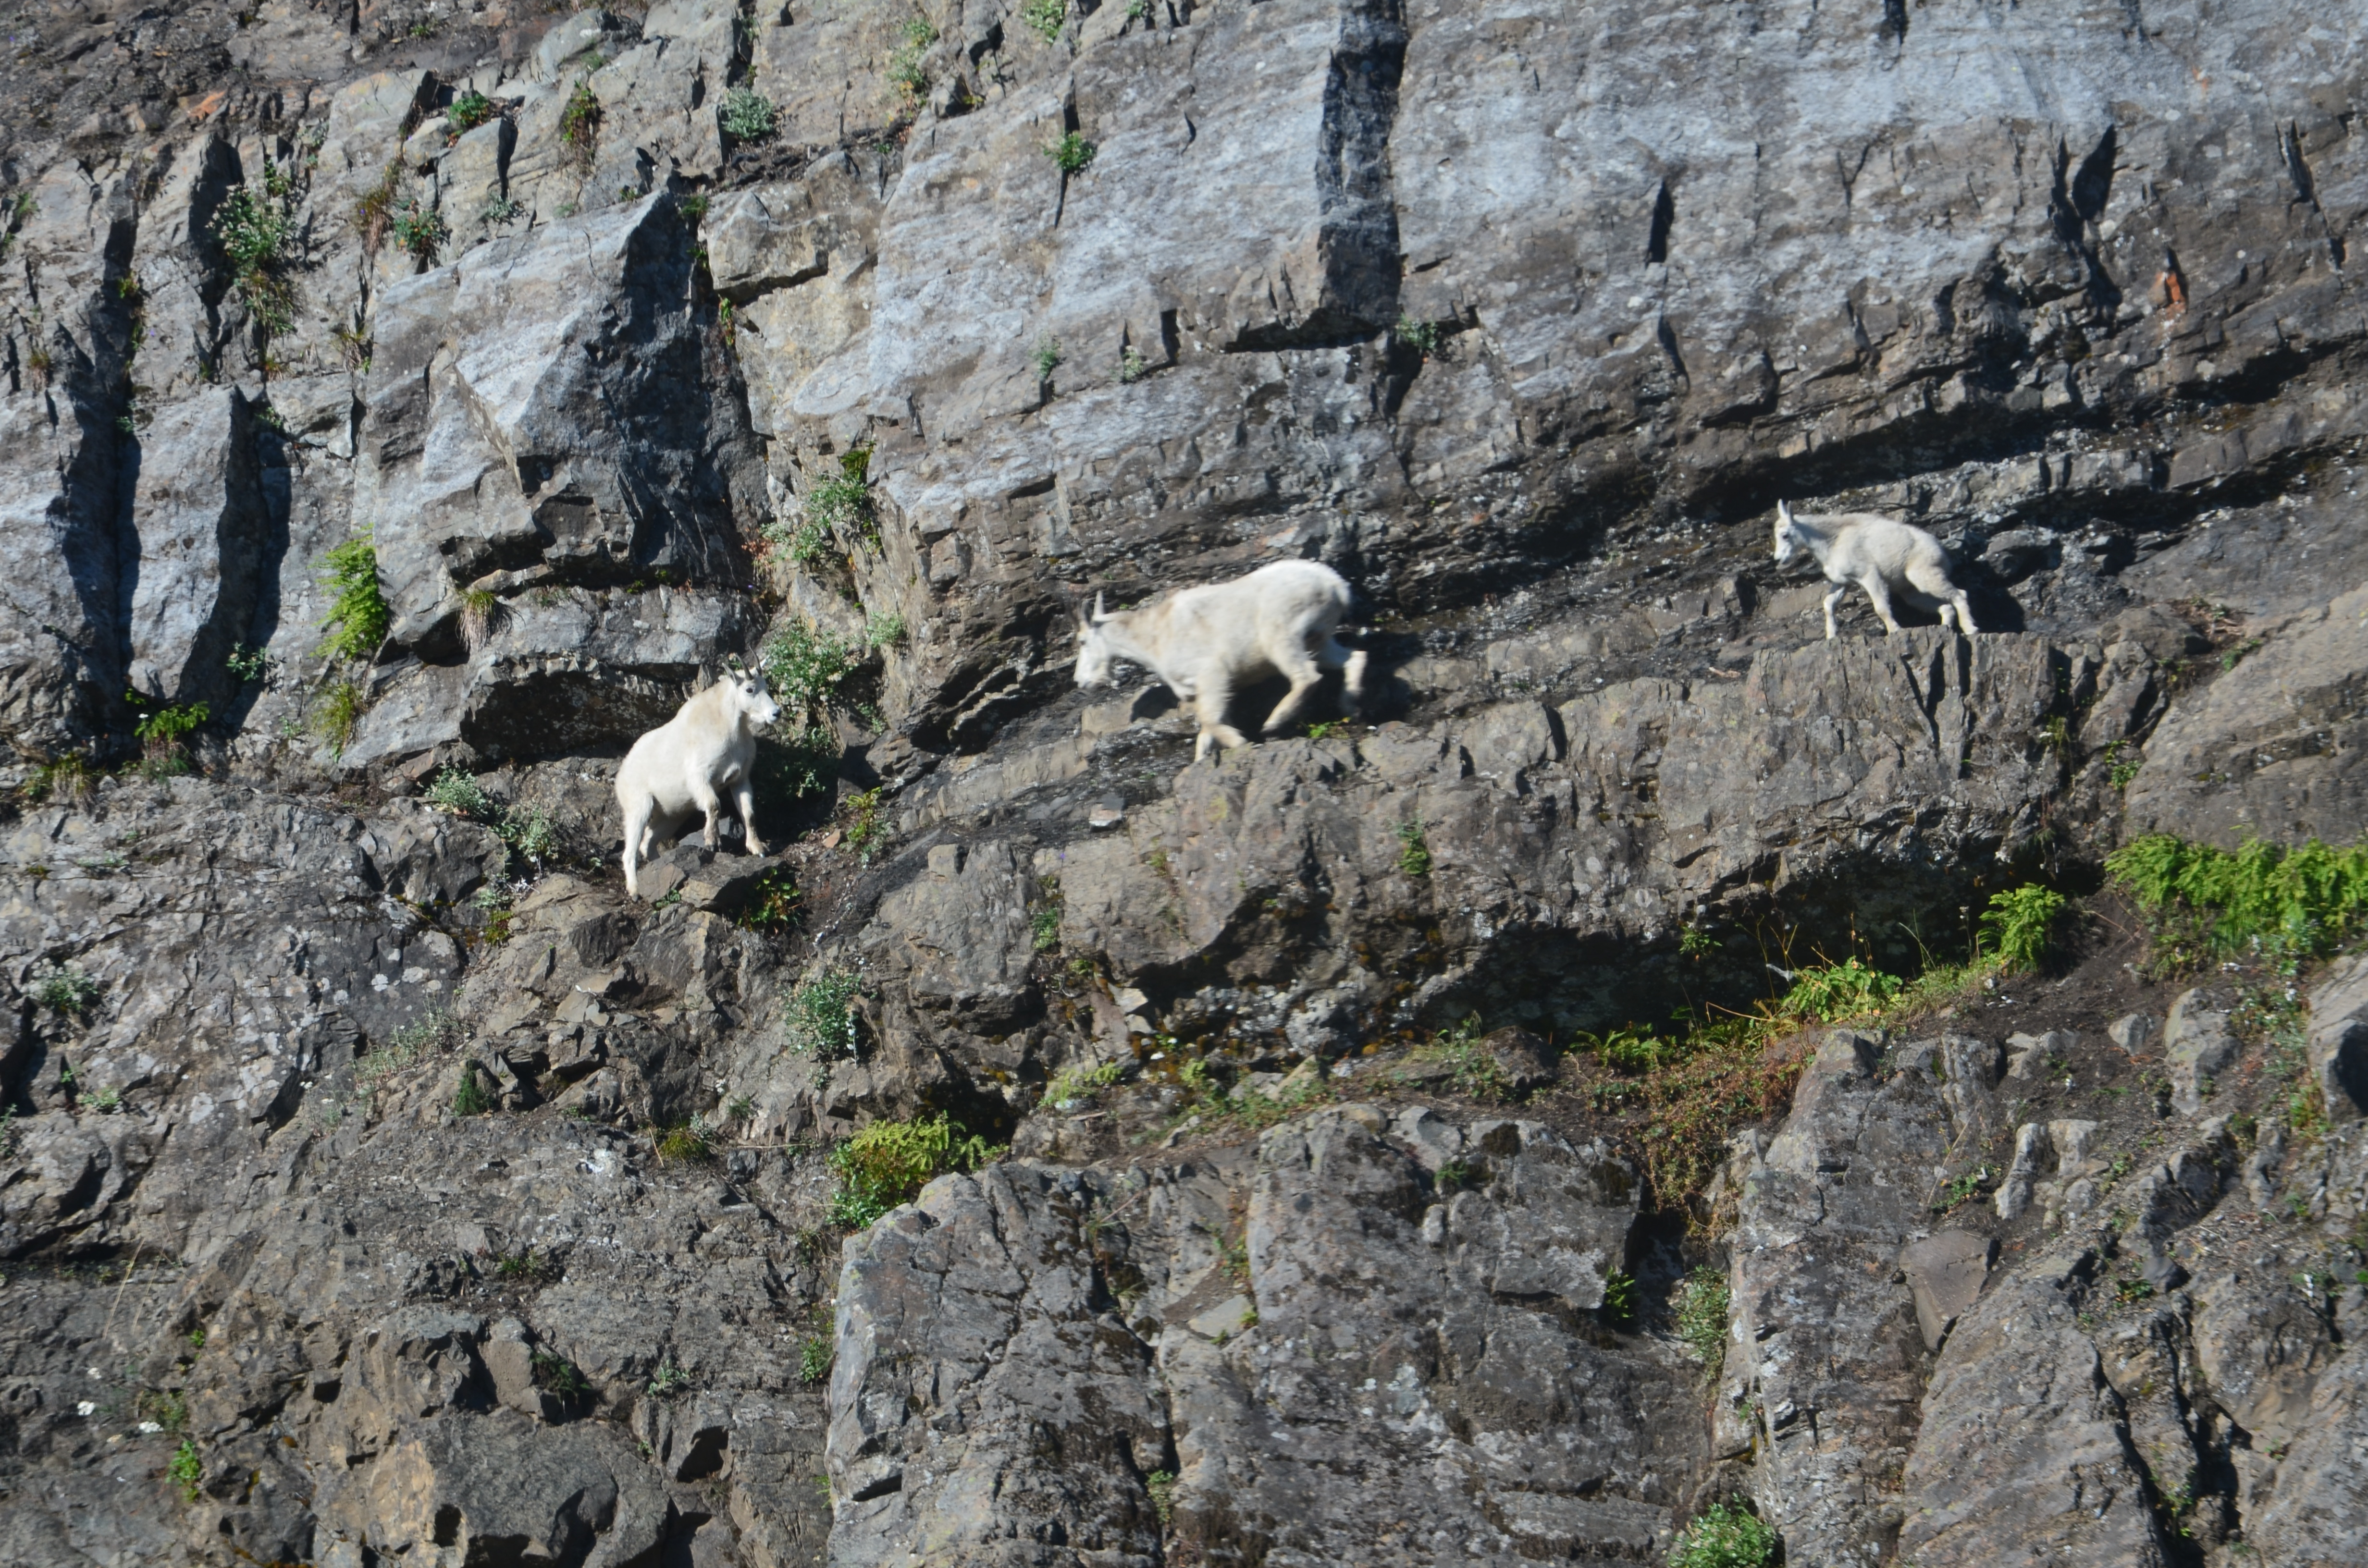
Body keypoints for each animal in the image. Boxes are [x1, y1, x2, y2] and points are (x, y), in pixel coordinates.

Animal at [616, 658, 781, 905]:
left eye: (766, 685)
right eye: (750, 690)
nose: (776, 713)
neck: (729, 728)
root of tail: (621, 775)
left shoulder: (740, 780)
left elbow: (748, 813)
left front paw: (758, 848)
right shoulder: (700, 779)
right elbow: (714, 805)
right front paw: (712, 841)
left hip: (670, 816)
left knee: (648, 843)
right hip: (638, 807)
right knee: (630, 851)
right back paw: (635, 890)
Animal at [1075, 561, 1373, 762]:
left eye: (1082, 641)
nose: (1080, 681)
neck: (1153, 637)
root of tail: (1336, 585)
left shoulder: (1211, 671)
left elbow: (1210, 719)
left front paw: (1239, 741)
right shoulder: (1208, 687)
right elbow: (1208, 728)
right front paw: (1201, 761)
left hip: (1283, 630)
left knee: (1307, 676)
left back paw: (1274, 722)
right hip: (1318, 637)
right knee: (1353, 658)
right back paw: (1352, 705)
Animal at [1780, 500, 1979, 644]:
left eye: (1784, 535)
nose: (1779, 559)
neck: (1831, 542)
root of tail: (1941, 551)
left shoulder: (1869, 575)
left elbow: (1881, 607)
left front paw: (1895, 630)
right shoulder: (1844, 582)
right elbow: (1828, 604)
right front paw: (1831, 635)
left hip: (1924, 574)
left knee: (1960, 594)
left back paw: (1971, 629)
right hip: (1912, 592)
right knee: (1945, 607)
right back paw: (1946, 629)